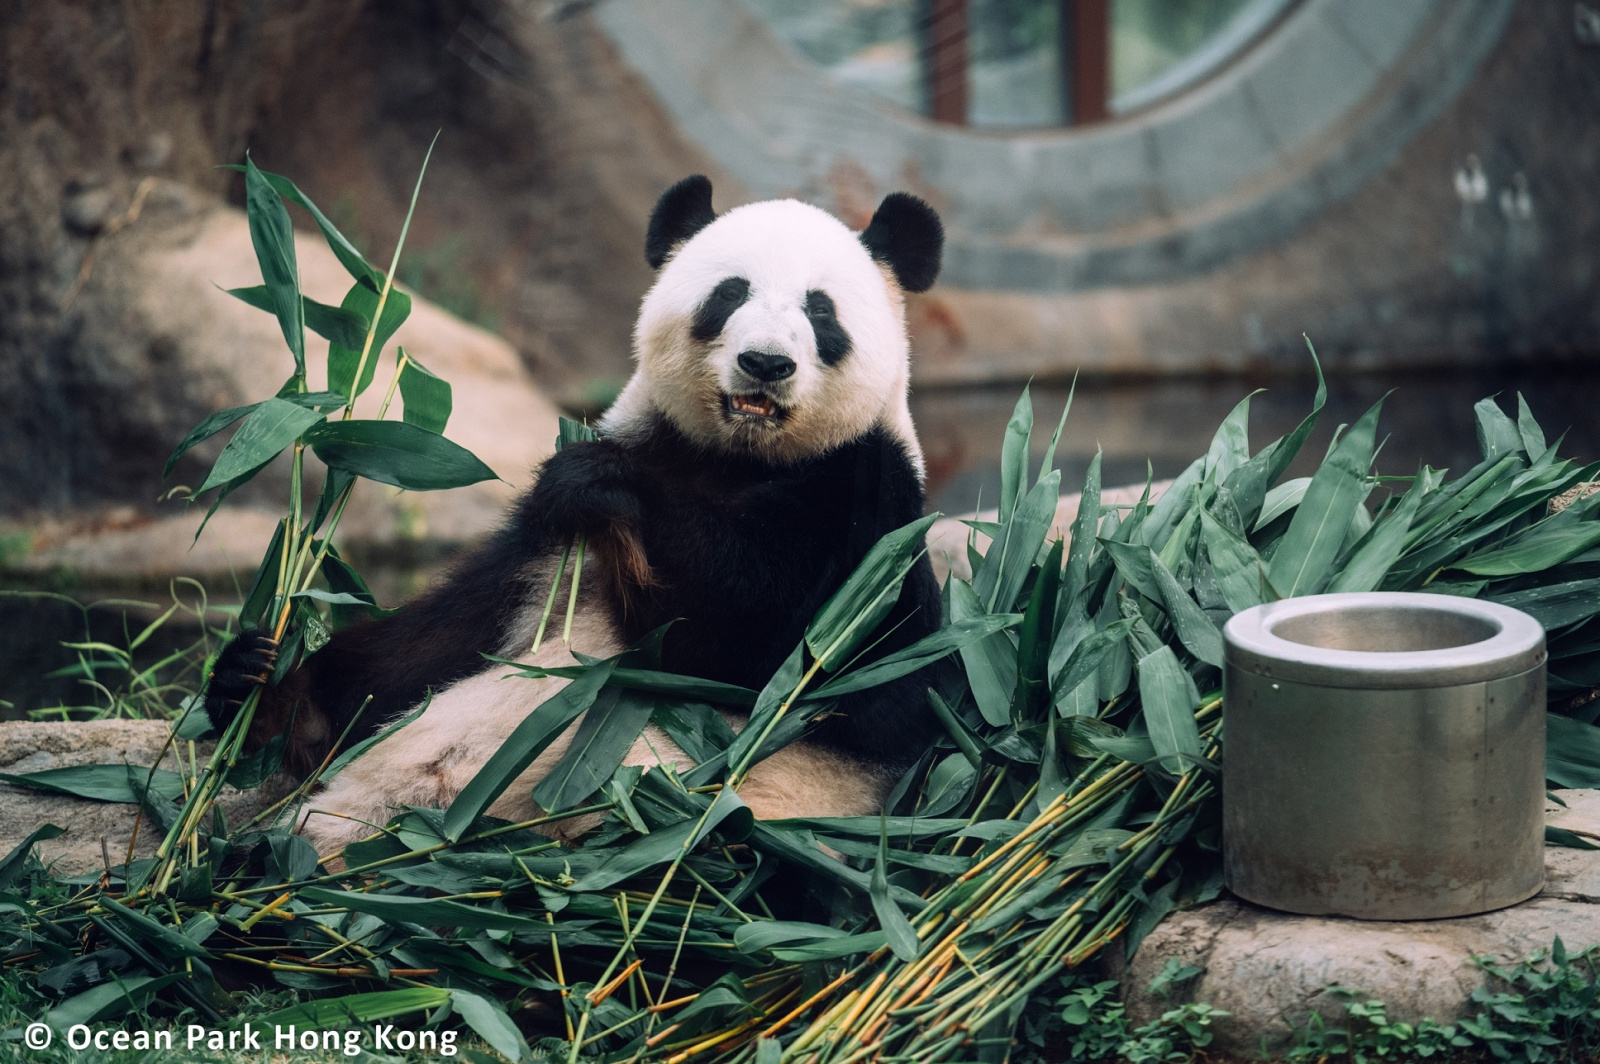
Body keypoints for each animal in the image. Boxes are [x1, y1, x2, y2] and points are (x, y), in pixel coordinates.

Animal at [206, 175, 947, 855]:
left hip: (747, 825)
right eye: (729, 294)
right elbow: (428, 645)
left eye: (821, 312)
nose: (765, 363)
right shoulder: (543, 547)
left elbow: (765, 650)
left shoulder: (866, 517)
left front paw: (604, 485)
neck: (737, 458)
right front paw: (263, 688)